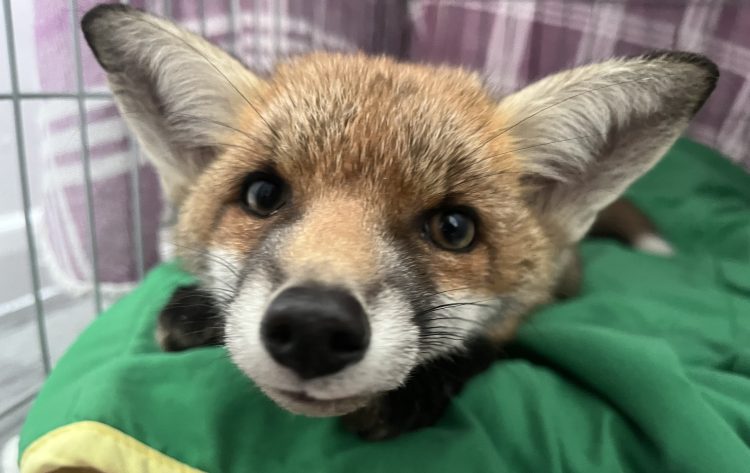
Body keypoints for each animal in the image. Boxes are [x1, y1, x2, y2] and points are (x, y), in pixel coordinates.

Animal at [82, 4, 717, 440]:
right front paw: (195, 313)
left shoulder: (523, 317)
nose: (312, 328)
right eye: (263, 195)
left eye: (454, 229)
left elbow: (489, 345)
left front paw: (423, 387)